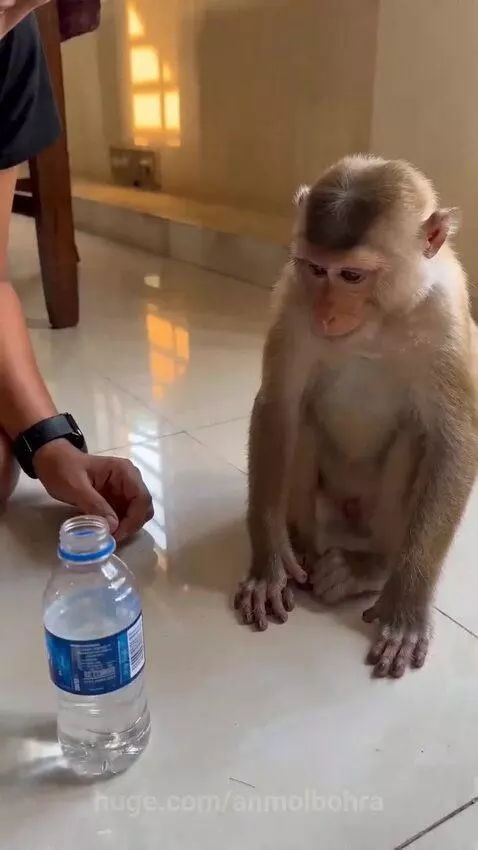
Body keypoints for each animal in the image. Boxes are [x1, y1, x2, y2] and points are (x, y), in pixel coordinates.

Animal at [234, 154, 478, 679]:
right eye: (317, 268)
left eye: (351, 276)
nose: (327, 314)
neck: (377, 322)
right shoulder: (294, 296)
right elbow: (279, 404)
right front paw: (269, 560)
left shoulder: (446, 314)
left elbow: (454, 442)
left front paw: (407, 604)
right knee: (301, 421)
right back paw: (304, 547)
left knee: (415, 438)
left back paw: (371, 567)